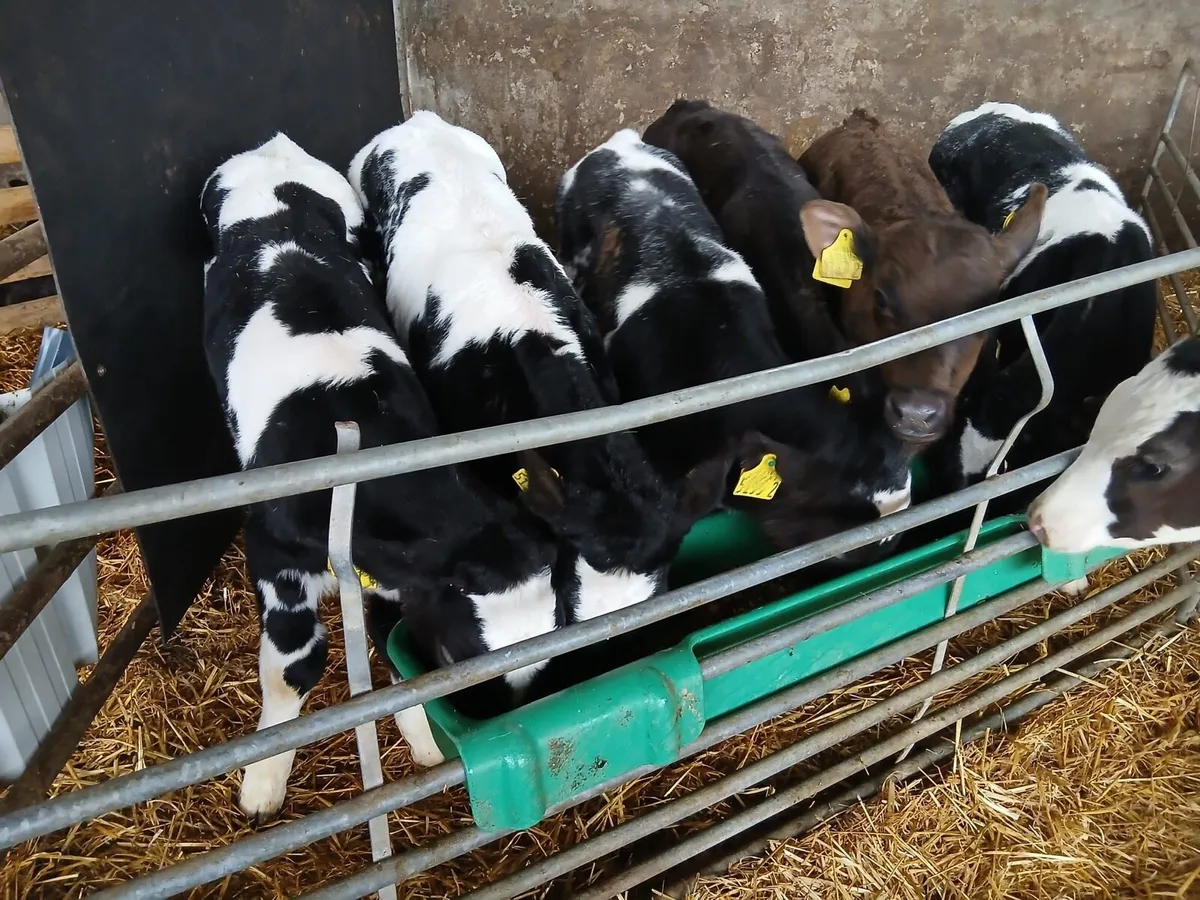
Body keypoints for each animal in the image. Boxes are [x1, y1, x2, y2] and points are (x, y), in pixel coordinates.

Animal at [201, 133, 560, 818]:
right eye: (457, 653)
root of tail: (274, 150)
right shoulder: (273, 553)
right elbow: (292, 665)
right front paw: (262, 784)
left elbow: (391, 655)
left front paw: (422, 742)